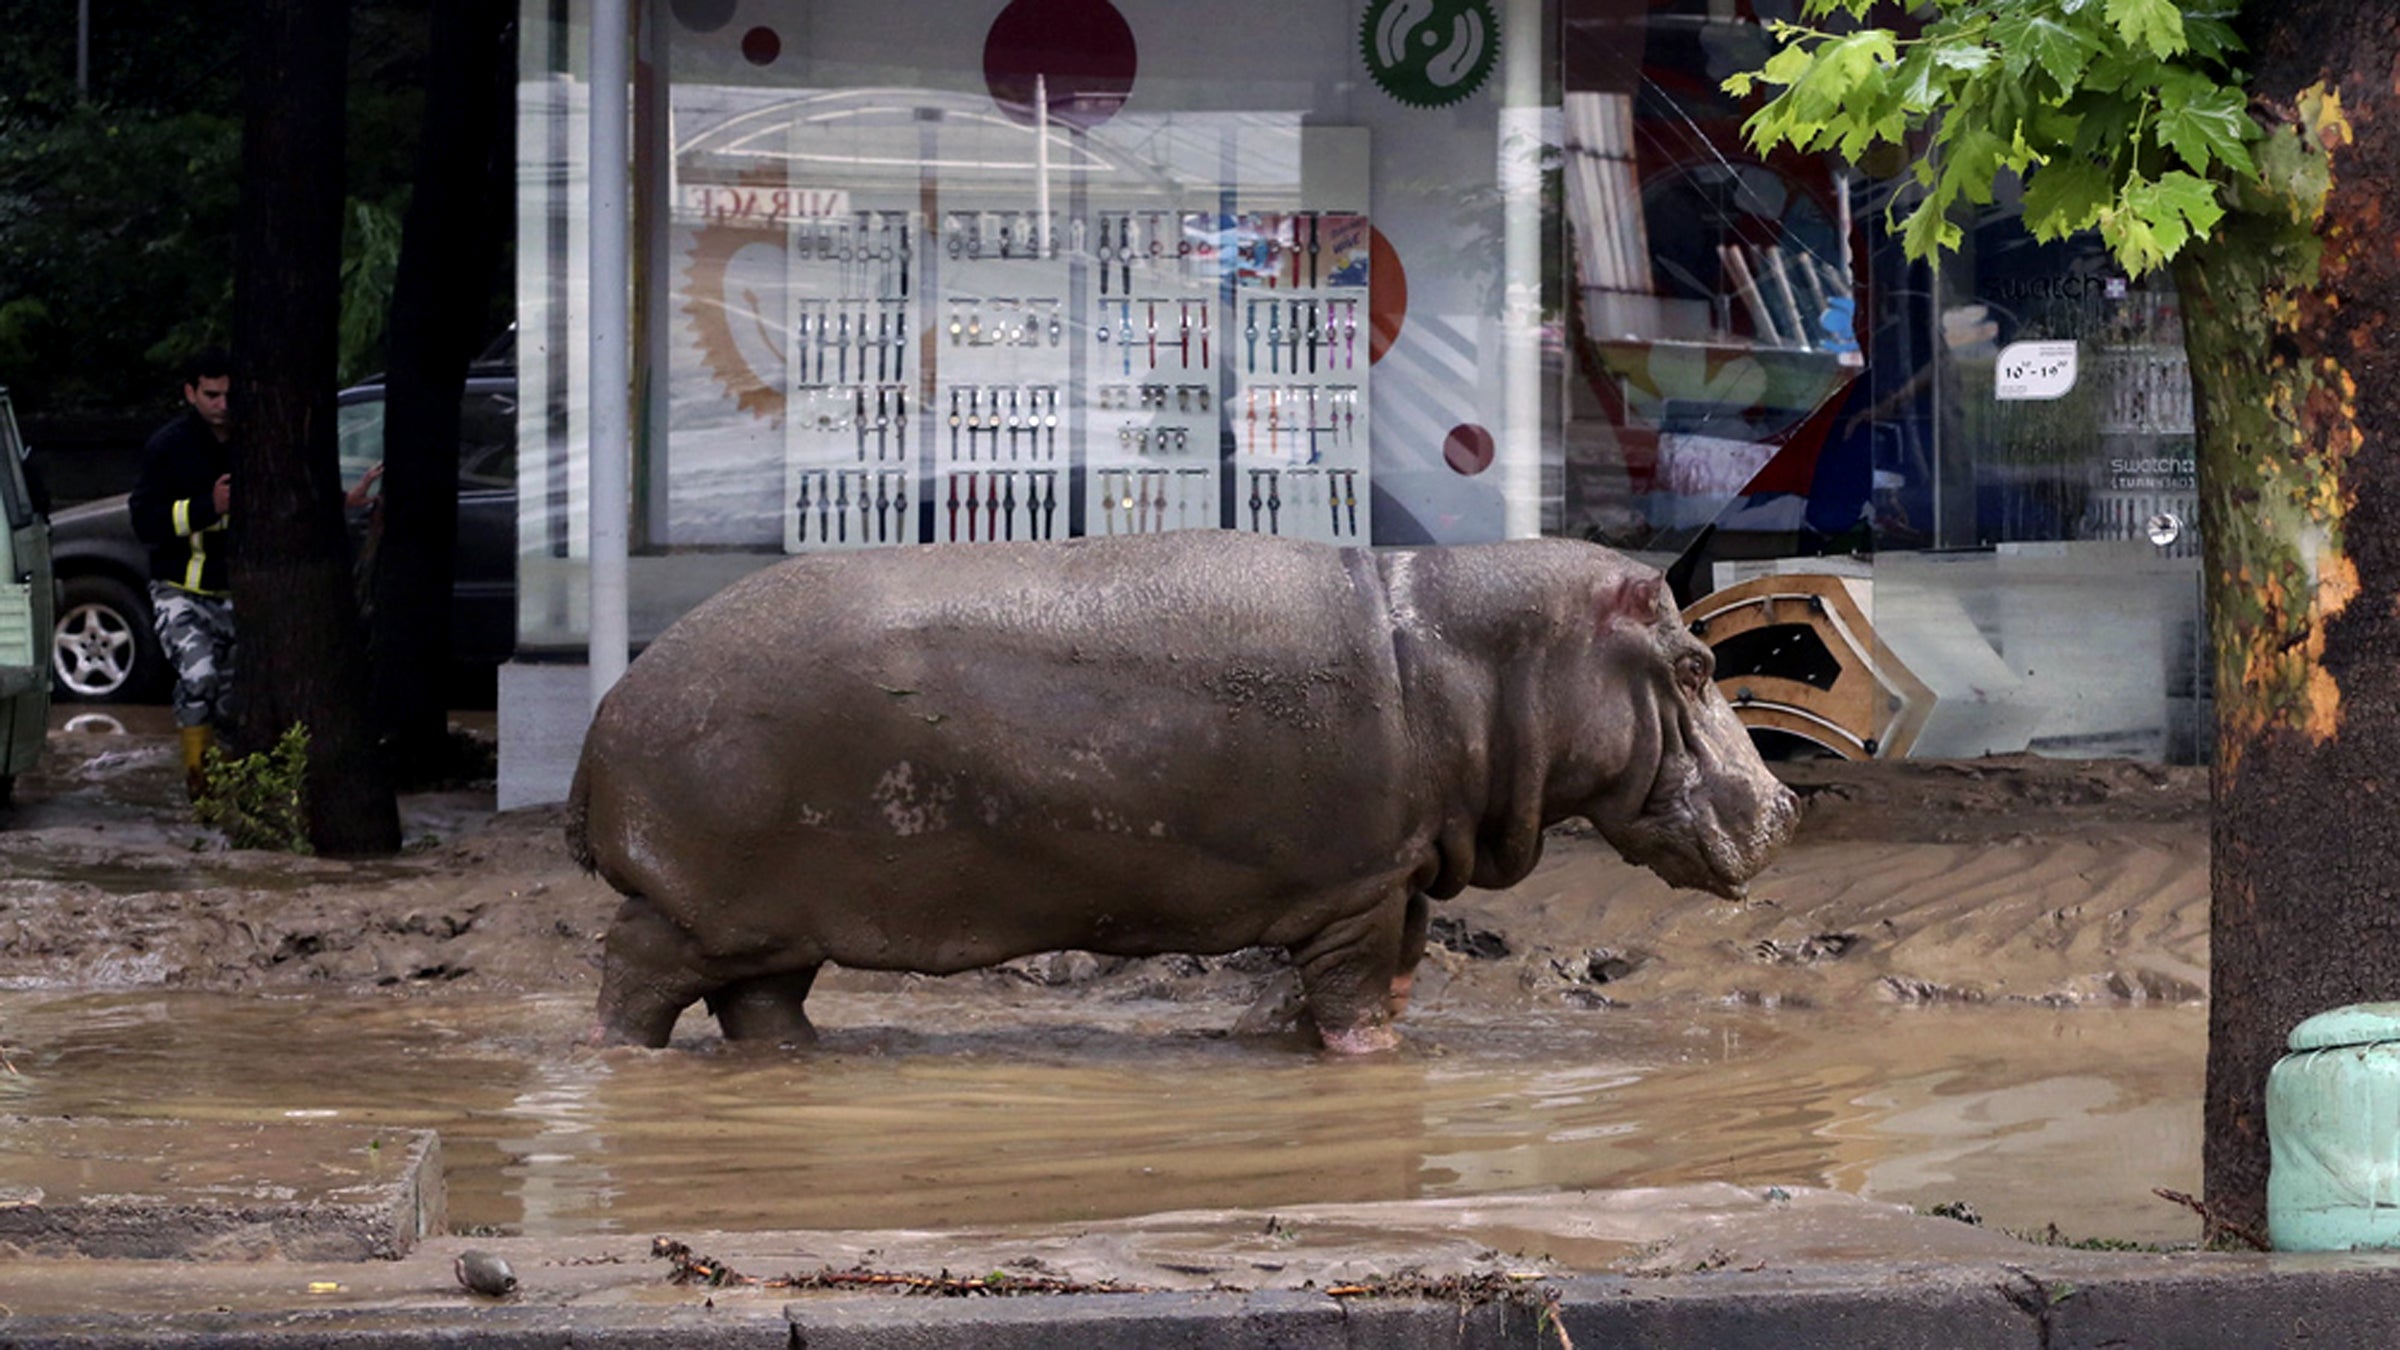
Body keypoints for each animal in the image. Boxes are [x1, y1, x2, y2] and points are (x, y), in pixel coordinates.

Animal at [565, 531, 1797, 1051]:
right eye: (1698, 664)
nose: (1785, 809)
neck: (1474, 653)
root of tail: (610, 710)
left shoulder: (1395, 880)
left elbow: (1384, 984)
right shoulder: (1362, 890)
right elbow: (1358, 1003)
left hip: (774, 922)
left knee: (762, 1007)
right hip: (699, 908)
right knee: (631, 980)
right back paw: (620, 1064)